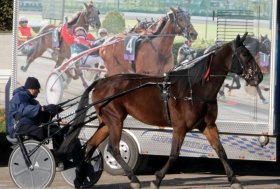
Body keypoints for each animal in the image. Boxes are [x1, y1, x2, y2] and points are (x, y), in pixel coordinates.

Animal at [59, 33, 262, 188]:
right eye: (244, 54)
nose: (259, 75)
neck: (195, 89)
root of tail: (102, 81)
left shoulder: (208, 126)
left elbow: (221, 151)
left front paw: (234, 179)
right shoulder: (180, 127)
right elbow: (173, 155)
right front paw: (156, 179)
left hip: (106, 121)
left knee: (90, 145)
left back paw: (80, 178)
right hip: (115, 120)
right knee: (114, 148)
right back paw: (133, 179)